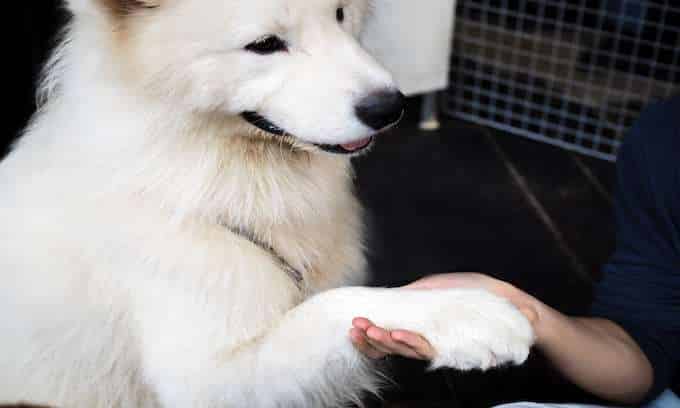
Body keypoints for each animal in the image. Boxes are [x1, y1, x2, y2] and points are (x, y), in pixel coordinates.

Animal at [0, 0, 532, 406]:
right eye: (264, 45)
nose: (390, 108)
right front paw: (464, 314)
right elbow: (334, 305)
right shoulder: (211, 377)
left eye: (340, 14)